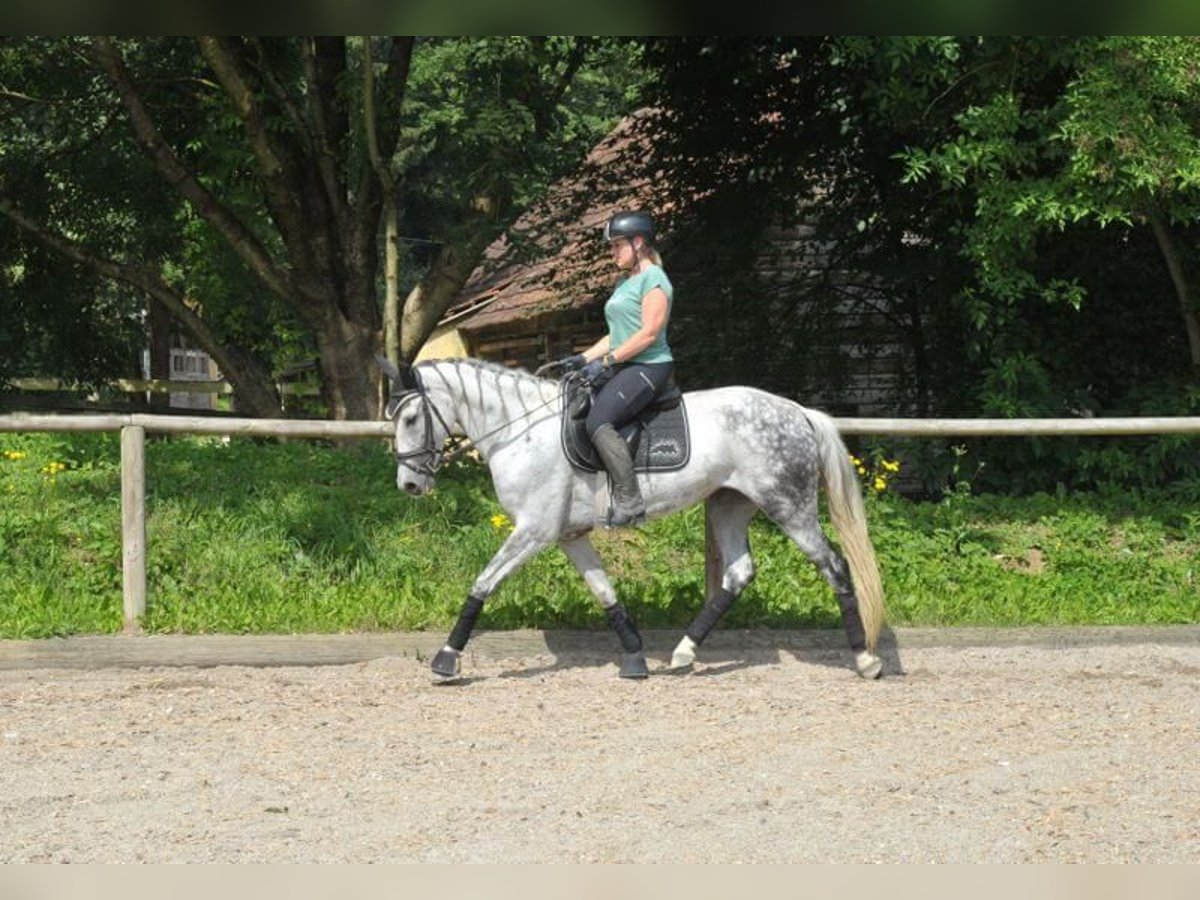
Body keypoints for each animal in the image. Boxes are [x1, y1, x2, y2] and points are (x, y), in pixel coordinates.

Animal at [379, 355, 888, 681]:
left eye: (410, 419)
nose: (409, 486)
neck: (520, 431)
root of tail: (797, 411)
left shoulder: (534, 531)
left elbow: (483, 583)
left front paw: (446, 658)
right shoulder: (568, 534)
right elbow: (605, 592)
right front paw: (635, 657)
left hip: (788, 505)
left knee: (834, 566)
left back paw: (865, 660)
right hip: (728, 503)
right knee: (738, 573)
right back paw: (682, 654)